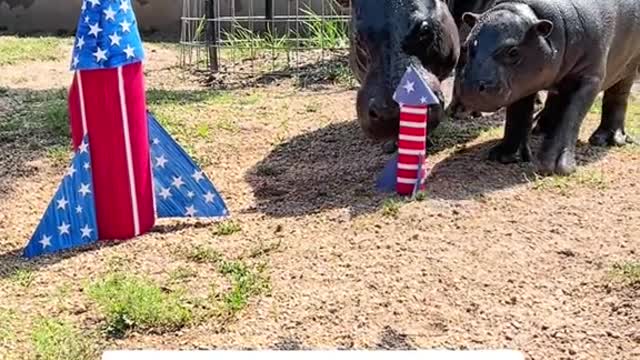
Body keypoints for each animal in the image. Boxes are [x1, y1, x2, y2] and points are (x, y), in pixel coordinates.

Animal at [456, 0, 640, 175]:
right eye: (467, 45)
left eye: (513, 51)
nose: (471, 88)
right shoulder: (522, 84)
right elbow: (518, 115)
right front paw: (503, 156)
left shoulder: (589, 77)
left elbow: (570, 116)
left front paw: (553, 167)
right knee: (556, 97)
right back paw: (541, 128)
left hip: (629, 64)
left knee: (618, 95)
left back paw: (606, 140)